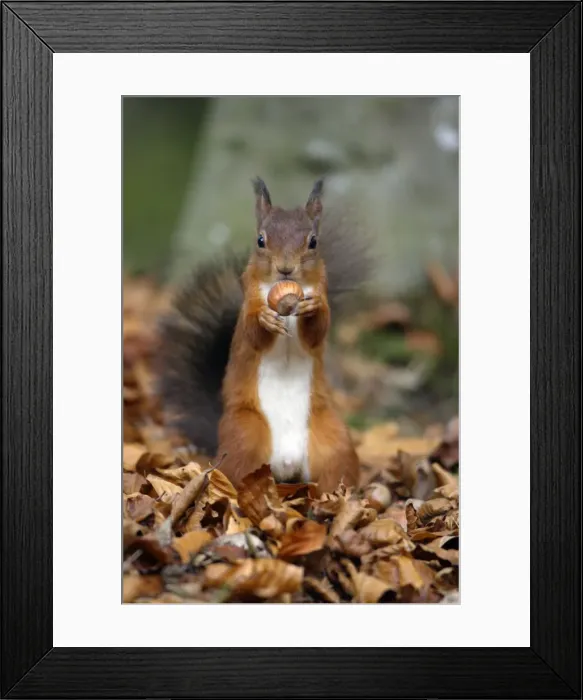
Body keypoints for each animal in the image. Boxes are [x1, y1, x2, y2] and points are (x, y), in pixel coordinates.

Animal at [158, 177, 372, 493]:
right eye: (260, 240)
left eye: (313, 241)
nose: (285, 269)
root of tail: (287, 464)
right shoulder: (248, 304)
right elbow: (253, 333)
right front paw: (265, 319)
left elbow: (317, 332)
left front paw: (313, 308)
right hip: (245, 436)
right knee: (236, 472)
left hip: (333, 440)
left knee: (334, 470)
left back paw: (340, 494)